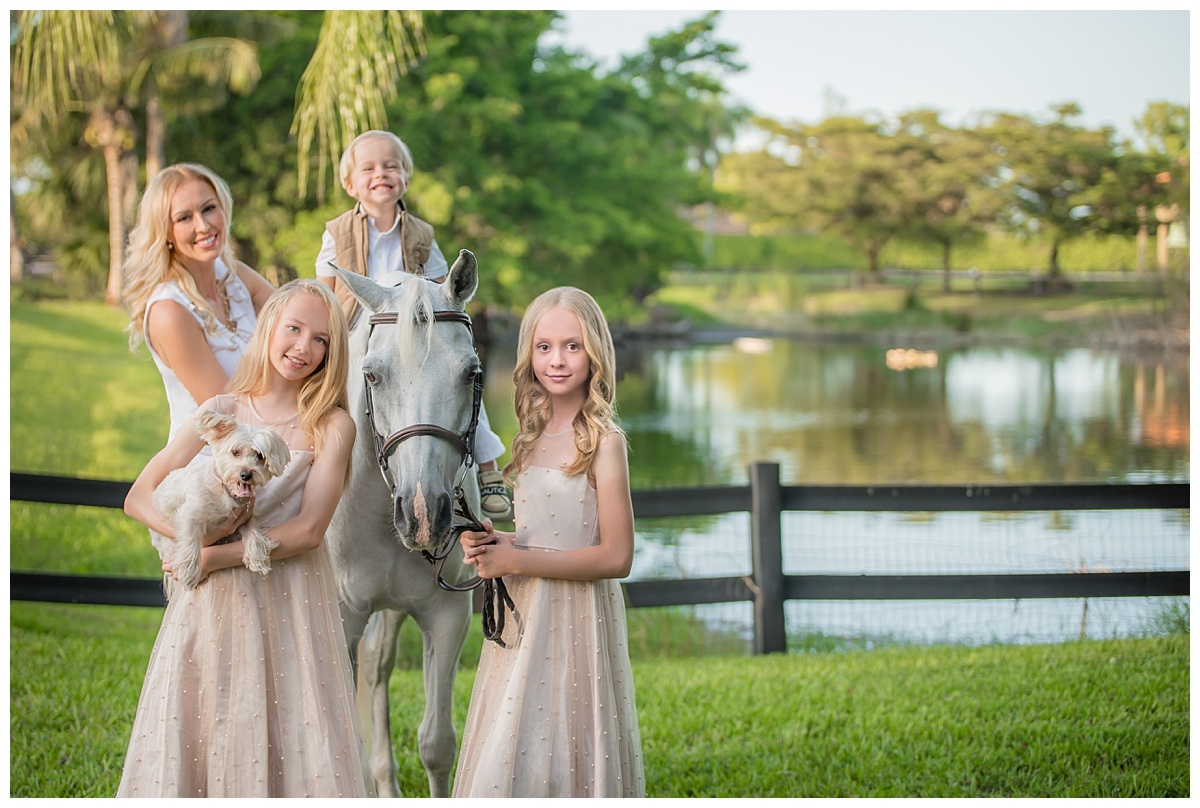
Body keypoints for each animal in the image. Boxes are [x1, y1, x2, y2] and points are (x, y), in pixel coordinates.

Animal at [151, 410, 291, 593]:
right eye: (235, 452)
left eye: (260, 456)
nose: (246, 474)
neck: (225, 491)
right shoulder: (189, 515)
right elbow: (191, 542)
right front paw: (189, 573)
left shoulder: (246, 516)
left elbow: (253, 531)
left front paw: (257, 558)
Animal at [326, 255, 484, 797]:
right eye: (371, 376)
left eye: (471, 373)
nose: (423, 514)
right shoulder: (342, 621)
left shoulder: (448, 616)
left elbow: (437, 744)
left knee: (379, 666)